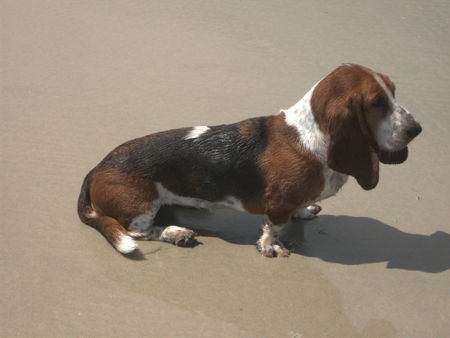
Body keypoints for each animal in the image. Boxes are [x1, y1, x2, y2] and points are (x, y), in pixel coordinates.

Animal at [76, 64, 422, 258]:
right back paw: (176, 233)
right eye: (376, 103)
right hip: (142, 205)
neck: (310, 135)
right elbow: (273, 227)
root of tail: (95, 169)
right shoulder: (278, 203)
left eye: (393, 91)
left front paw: (304, 212)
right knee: (137, 232)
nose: (416, 129)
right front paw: (270, 247)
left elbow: (298, 210)